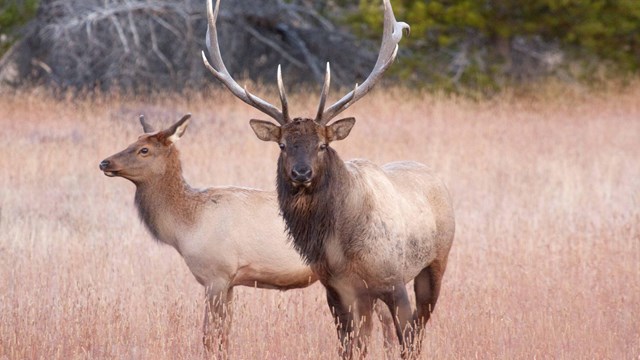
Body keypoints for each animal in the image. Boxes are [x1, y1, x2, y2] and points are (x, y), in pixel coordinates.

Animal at [98, 114, 320, 354]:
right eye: (132, 141)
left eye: (144, 150)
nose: (105, 163)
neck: (185, 228)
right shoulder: (230, 281)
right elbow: (225, 335)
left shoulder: (216, 274)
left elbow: (210, 336)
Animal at [202, 0, 458, 358]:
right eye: (283, 145)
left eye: (322, 145)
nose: (301, 172)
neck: (342, 249)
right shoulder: (337, 290)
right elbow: (351, 347)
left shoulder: (392, 280)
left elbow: (408, 339)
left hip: (435, 263)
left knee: (419, 327)